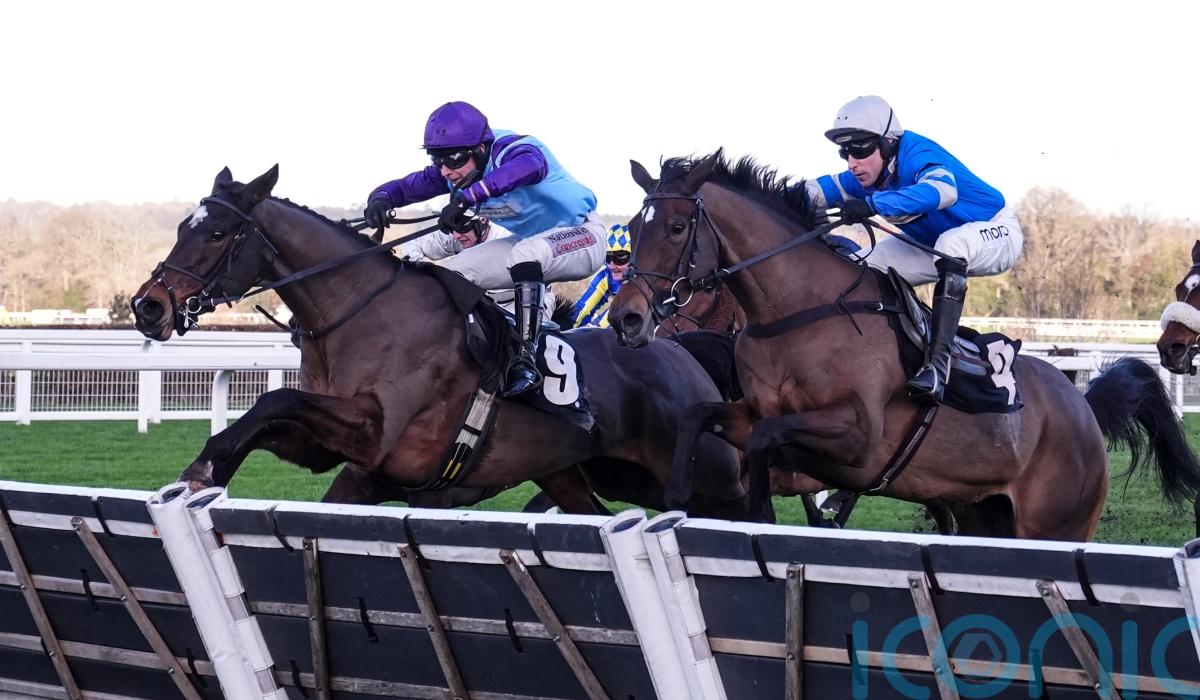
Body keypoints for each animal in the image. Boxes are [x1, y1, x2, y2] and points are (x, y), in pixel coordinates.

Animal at [129, 165, 747, 518]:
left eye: (215, 233)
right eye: (182, 227)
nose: (148, 305)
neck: (360, 310)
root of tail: (679, 353)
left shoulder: (377, 431)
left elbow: (276, 397)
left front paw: (203, 470)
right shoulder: (340, 456)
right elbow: (267, 411)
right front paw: (206, 467)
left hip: (704, 480)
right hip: (572, 474)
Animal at [608, 151, 1200, 540]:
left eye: (678, 227)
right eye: (634, 227)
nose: (626, 318)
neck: (799, 312)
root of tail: (1082, 404)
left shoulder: (858, 438)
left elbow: (765, 442)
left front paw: (762, 515)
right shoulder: (752, 410)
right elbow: (699, 416)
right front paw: (679, 501)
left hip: (1058, 524)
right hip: (986, 513)